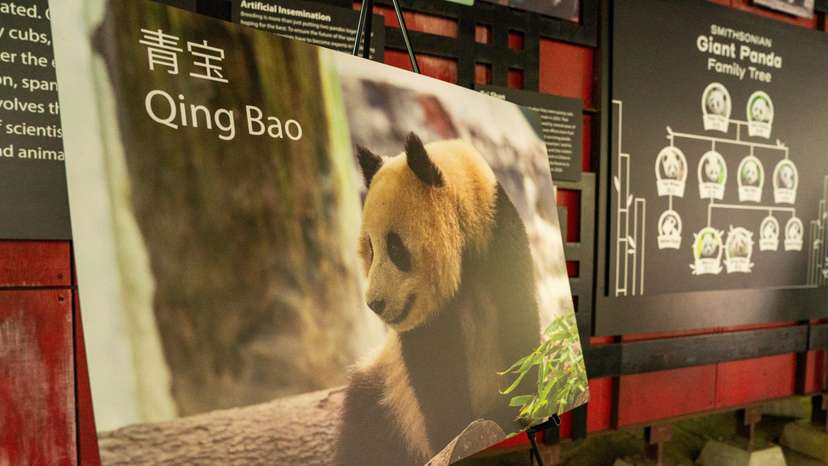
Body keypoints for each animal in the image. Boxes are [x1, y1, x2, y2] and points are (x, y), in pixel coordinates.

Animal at [334, 133, 541, 466]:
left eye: (395, 248)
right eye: (370, 249)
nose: (375, 303)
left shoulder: (501, 245)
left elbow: (518, 331)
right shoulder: (422, 328)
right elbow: (435, 378)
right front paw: (452, 432)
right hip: (385, 397)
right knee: (364, 434)